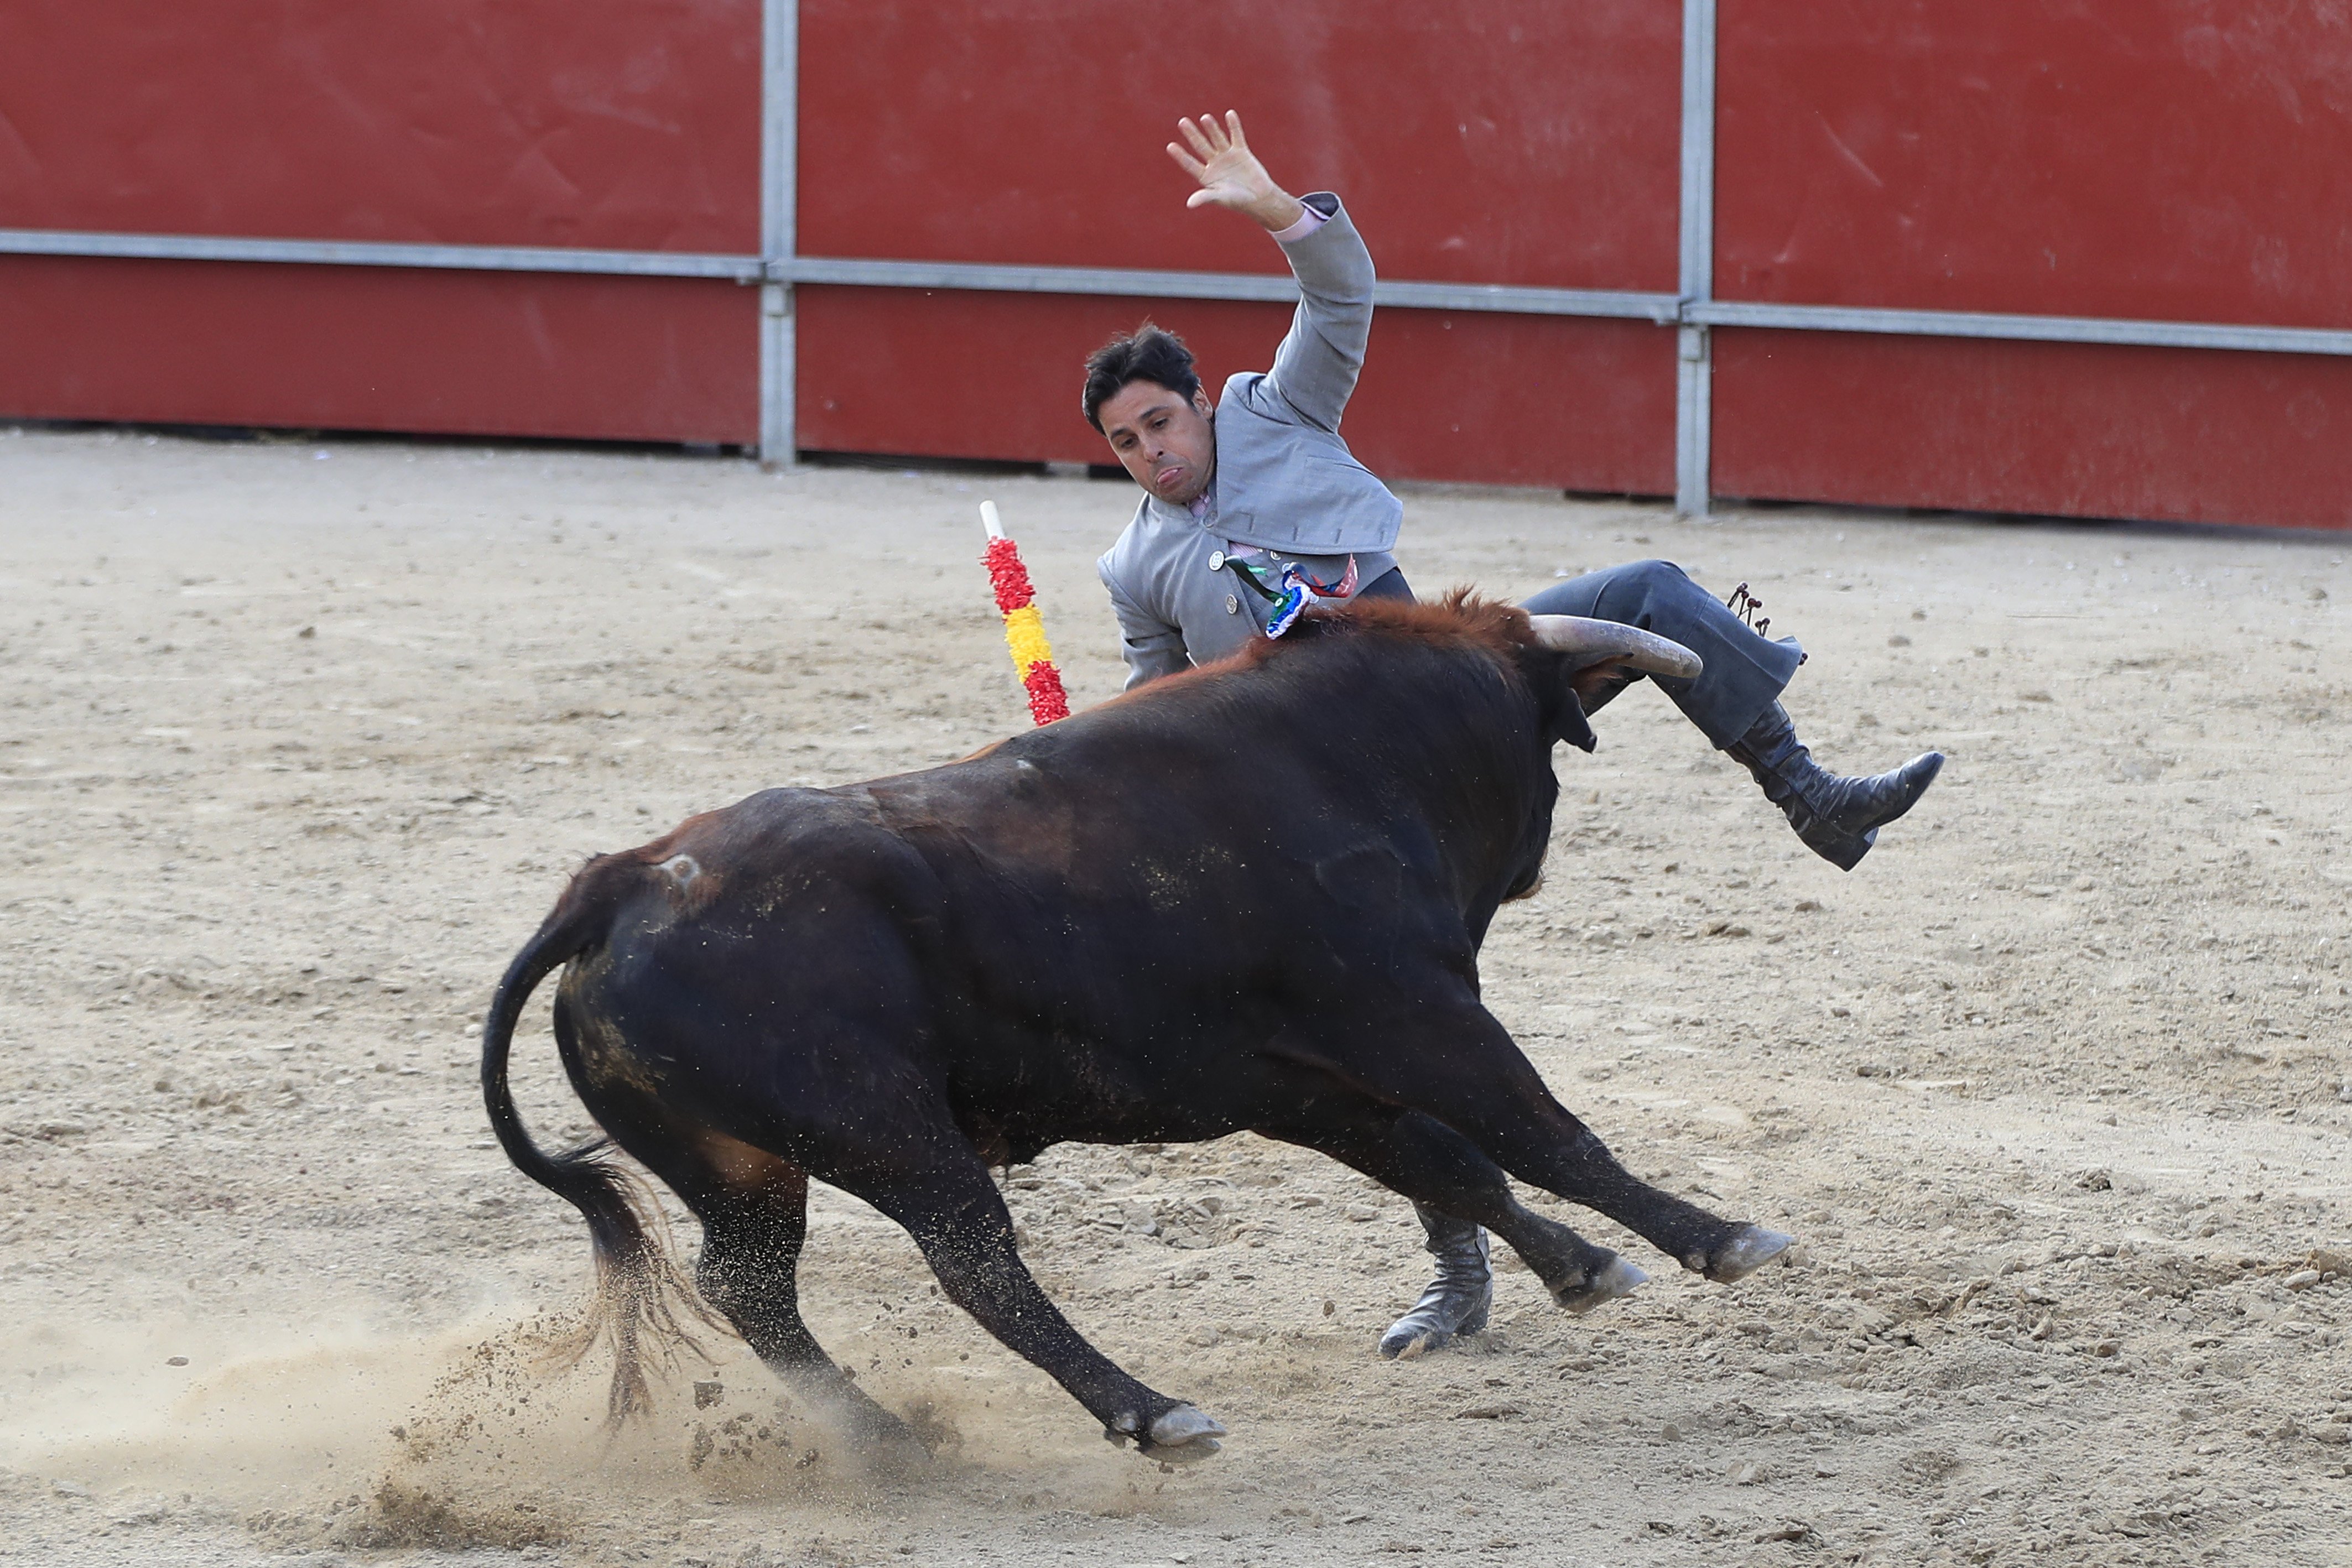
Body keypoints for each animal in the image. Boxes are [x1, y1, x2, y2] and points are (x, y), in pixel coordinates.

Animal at [487, 595, 1787, 1467]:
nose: (1530, 869)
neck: (1347, 755)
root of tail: (624, 881)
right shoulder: (1418, 1018)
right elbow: (1544, 1132)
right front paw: (1719, 1238)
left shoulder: (1301, 1085)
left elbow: (1453, 1164)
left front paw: (1582, 1268)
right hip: (882, 1131)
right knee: (972, 1261)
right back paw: (1152, 1413)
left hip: (745, 1168)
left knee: (748, 1284)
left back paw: (892, 1439)